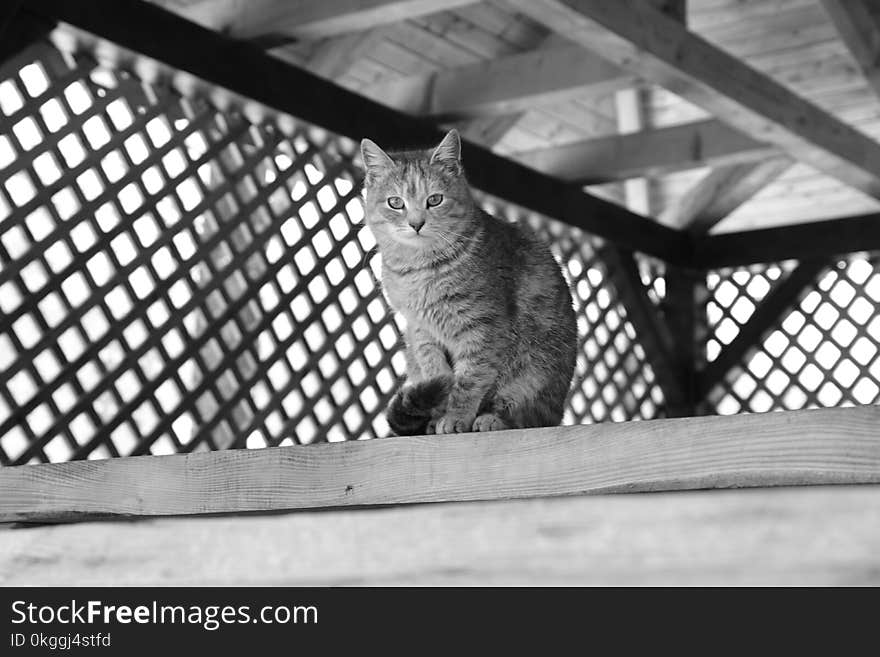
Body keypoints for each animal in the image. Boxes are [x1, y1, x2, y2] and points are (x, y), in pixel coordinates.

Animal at [358, 129, 576, 436]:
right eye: (395, 202)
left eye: (435, 199)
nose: (416, 223)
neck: (419, 269)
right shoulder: (420, 329)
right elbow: (435, 371)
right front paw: (440, 412)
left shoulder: (482, 327)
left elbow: (469, 381)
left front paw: (456, 417)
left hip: (535, 371)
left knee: (526, 415)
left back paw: (491, 420)